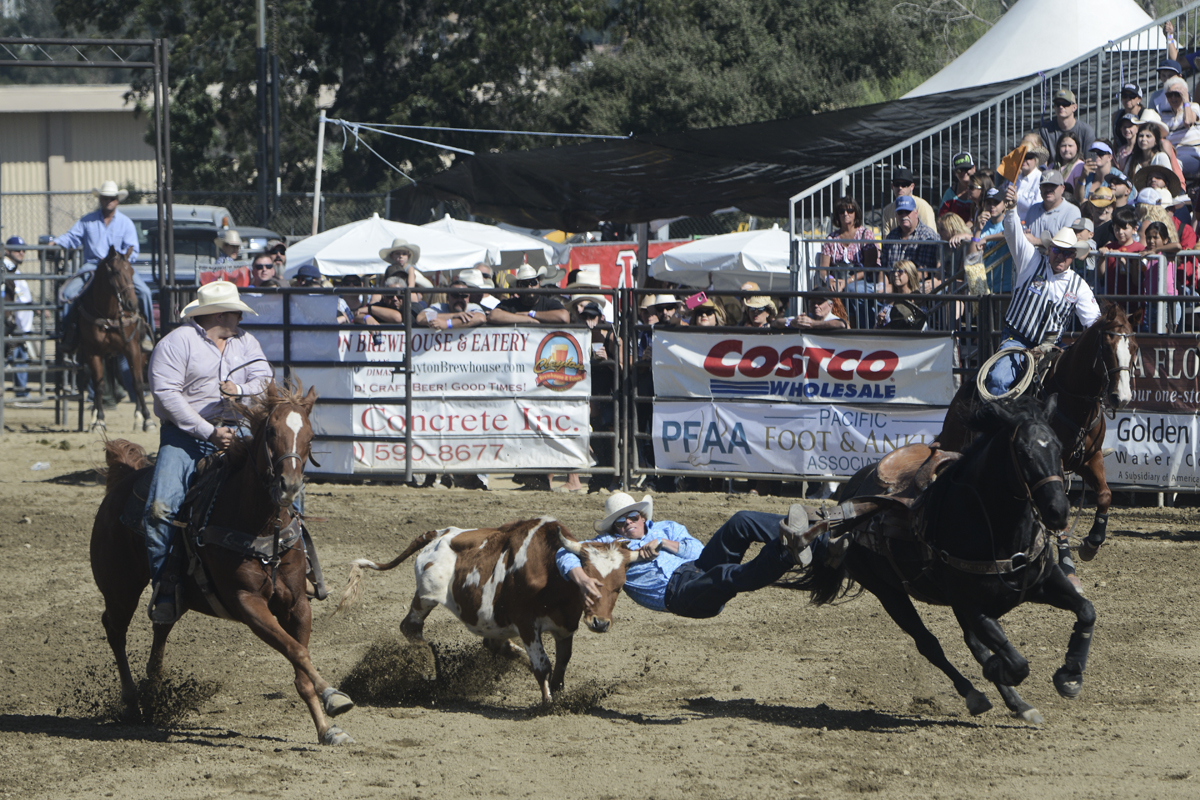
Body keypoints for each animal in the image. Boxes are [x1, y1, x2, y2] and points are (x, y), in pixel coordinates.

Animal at [76, 247, 154, 434]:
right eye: (116, 272)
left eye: (132, 271)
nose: (131, 304)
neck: (109, 315)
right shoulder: (93, 352)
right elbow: (99, 385)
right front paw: (99, 421)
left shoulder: (132, 348)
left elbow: (137, 383)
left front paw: (148, 420)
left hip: (141, 353)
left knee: (138, 381)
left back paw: (138, 418)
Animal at [89, 381, 352, 743]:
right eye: (271, 431)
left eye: (310, 436)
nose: (289, 486)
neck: (260, 527)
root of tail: (121, 482)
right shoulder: (246, 602)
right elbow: (297, 651)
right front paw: (333, 695)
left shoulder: (297, 602)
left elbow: (300, 659)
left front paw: (327, 727)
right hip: (120, 587)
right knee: (115, 629)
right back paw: (131, 702)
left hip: (170, 593)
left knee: (161, 624)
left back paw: (153, 695)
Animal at [792, 398, 1094, 724]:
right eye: (1024, 452)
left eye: (1058, 448)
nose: (1058, 511)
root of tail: (848, 494)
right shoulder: (973, 607)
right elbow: (1015, 663)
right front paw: (998, 670)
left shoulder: (1044, 581)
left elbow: (1086, 610)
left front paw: (1070, 675)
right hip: (888, 592)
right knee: (929, 644)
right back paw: (976, 694)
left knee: (971, 644)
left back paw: (1018, 703)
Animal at [936, 299, 1142, 563]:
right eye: (1106, 346)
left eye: (1134, 347)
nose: (1121, 397)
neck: (1074, 401)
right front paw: (1065, 557)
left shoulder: (1090, 458)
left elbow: (1105, 495)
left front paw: (1092, 542)